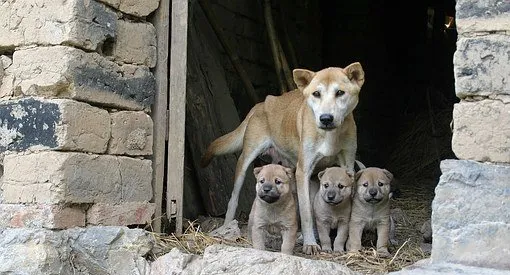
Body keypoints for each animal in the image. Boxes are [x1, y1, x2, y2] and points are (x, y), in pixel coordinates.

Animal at [201, 63, 364, 256]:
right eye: (316, 93)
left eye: (340, 92)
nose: (325, 118)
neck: (330, 135)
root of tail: (261, 103)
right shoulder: (303, 171)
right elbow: (306, 214)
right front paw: (310, 244)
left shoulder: (347, 165)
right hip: (245, 160)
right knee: (233, 198)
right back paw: (227, 227)